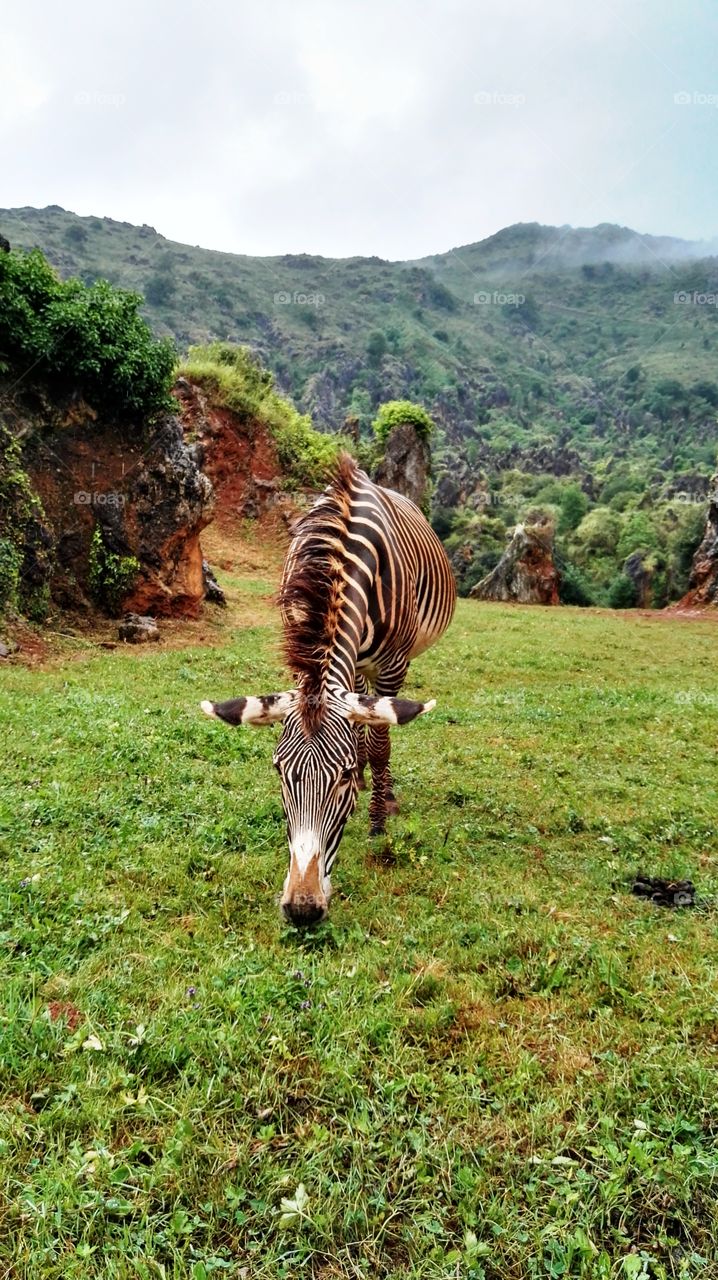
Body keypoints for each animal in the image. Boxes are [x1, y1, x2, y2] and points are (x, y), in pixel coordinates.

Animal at [201, 455, 456, 926]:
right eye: (279, 772)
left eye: (342, 778)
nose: (303, 909)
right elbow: (360, 735)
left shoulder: (392, 665)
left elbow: (379, 745)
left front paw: (375, 819)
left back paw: (385, 795)